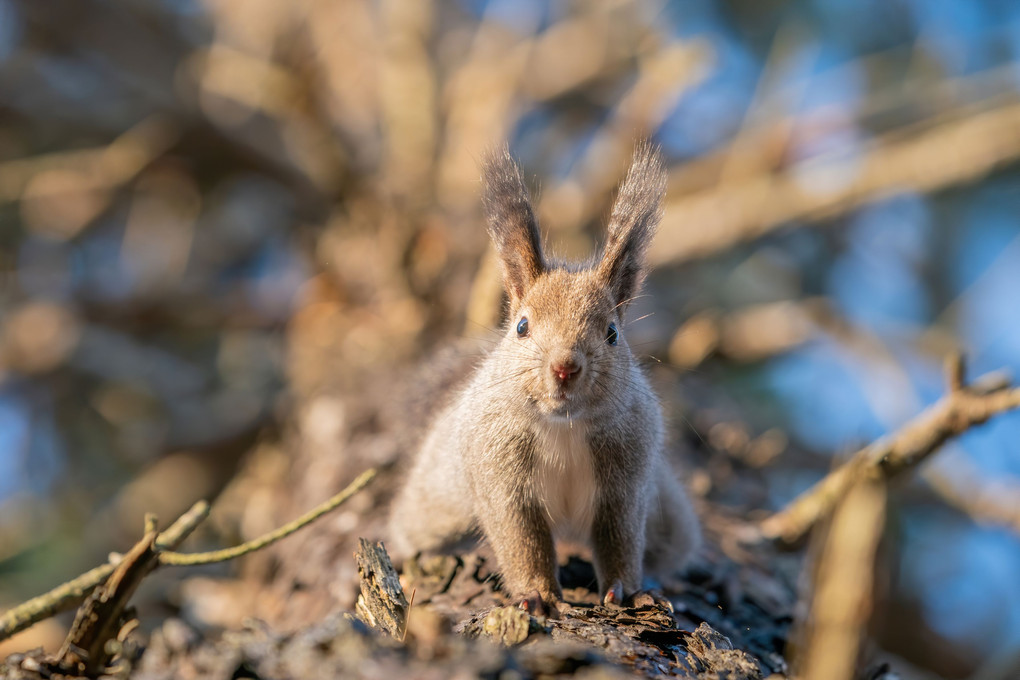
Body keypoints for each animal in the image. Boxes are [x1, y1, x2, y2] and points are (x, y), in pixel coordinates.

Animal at [387, 140, 701, 615]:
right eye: (521, 326)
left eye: (612, 333)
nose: (564, 367)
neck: (565, 425)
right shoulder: (500, 477)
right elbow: (522, 542)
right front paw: (537, 596)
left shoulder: (626, 479)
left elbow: (621, 541)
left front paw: (628, 590)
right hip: (437, 497)